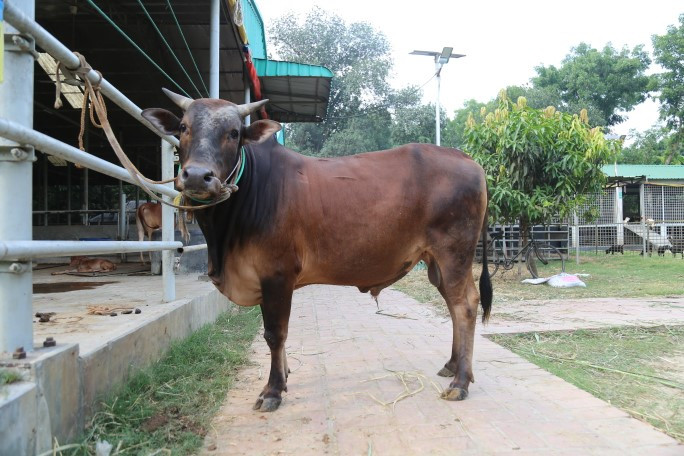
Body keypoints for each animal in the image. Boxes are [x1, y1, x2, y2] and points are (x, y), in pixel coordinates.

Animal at [141, 89, 493, 412]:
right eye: (183, 127)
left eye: (234, 133)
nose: (197, 176)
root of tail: (470, 161)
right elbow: (275, 334)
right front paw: (283, 376)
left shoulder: (276, 274)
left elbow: (275, 333)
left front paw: (273, 390)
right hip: (437, 263)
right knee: (455, 305)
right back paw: (453, 366)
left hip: (454, 255)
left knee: (465, 306)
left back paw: (460, 382)